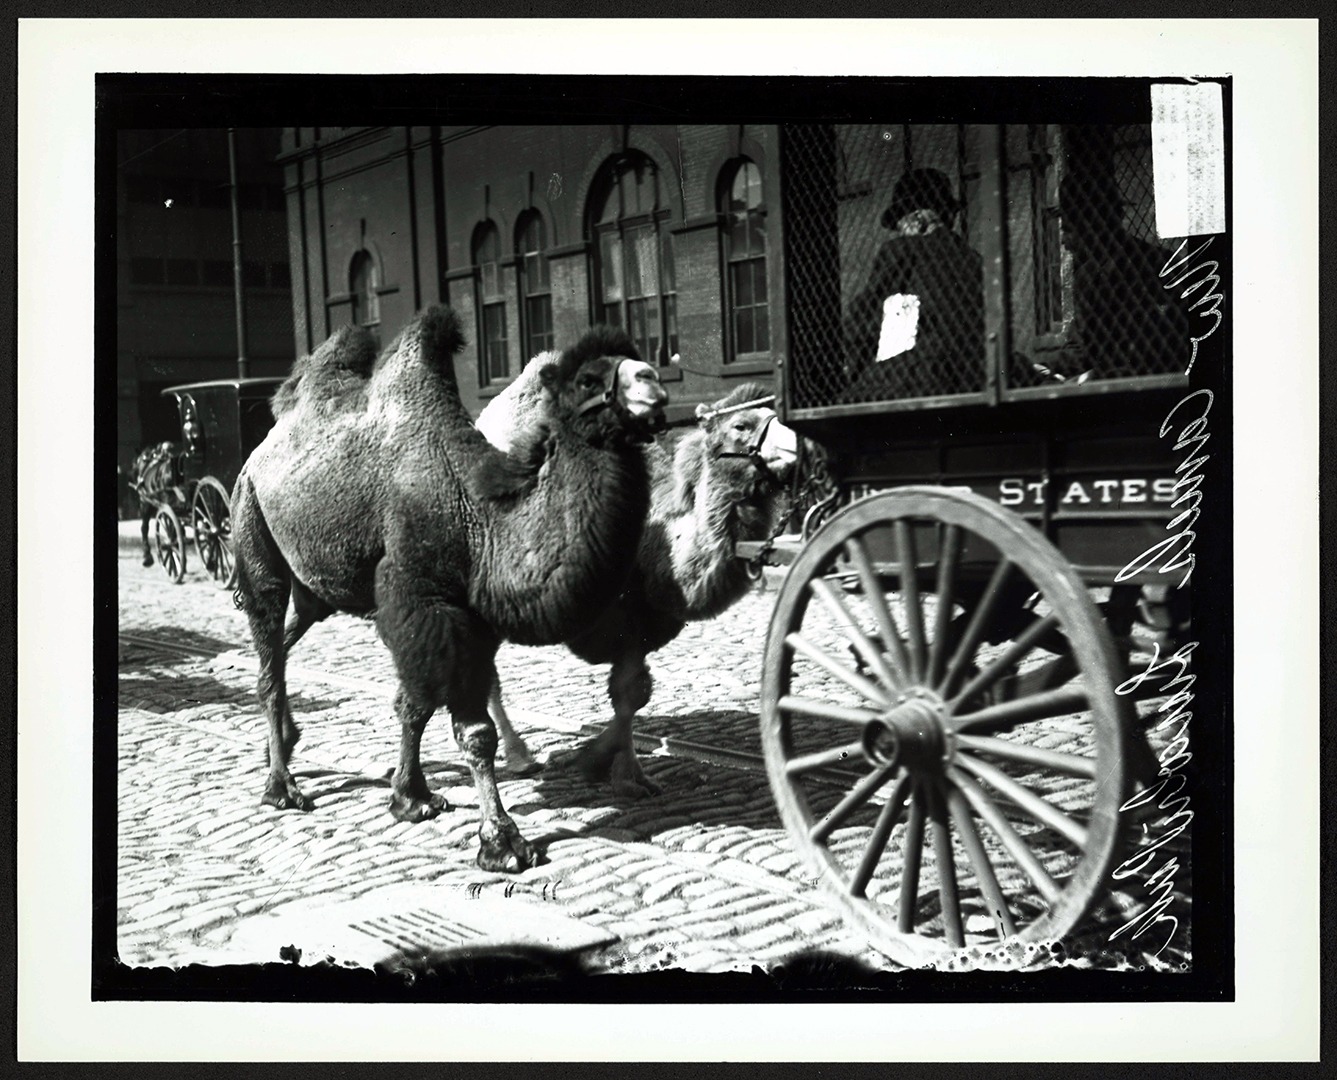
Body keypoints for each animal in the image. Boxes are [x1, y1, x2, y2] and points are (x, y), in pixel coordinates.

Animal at [231, 306, 669, 871]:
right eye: (589, 380)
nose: (652, 381)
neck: (477, 518)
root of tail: (260, 449)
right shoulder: (431, 607)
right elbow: (471, 730)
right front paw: (503, 842)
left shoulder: (460, 617)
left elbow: (416, 704)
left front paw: (412, 797)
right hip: (251, 517)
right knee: (267, 637)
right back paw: (281, 786)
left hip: (317, 590)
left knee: (282, 647)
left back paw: (283, 742)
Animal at [479, 378, 798, 797]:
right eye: (741, 425)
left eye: (774, 413)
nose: (796, 444)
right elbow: (629, 694)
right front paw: (596, 761)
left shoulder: (644, 623)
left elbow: (632, 694)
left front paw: (626, 774)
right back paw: (518, 756)